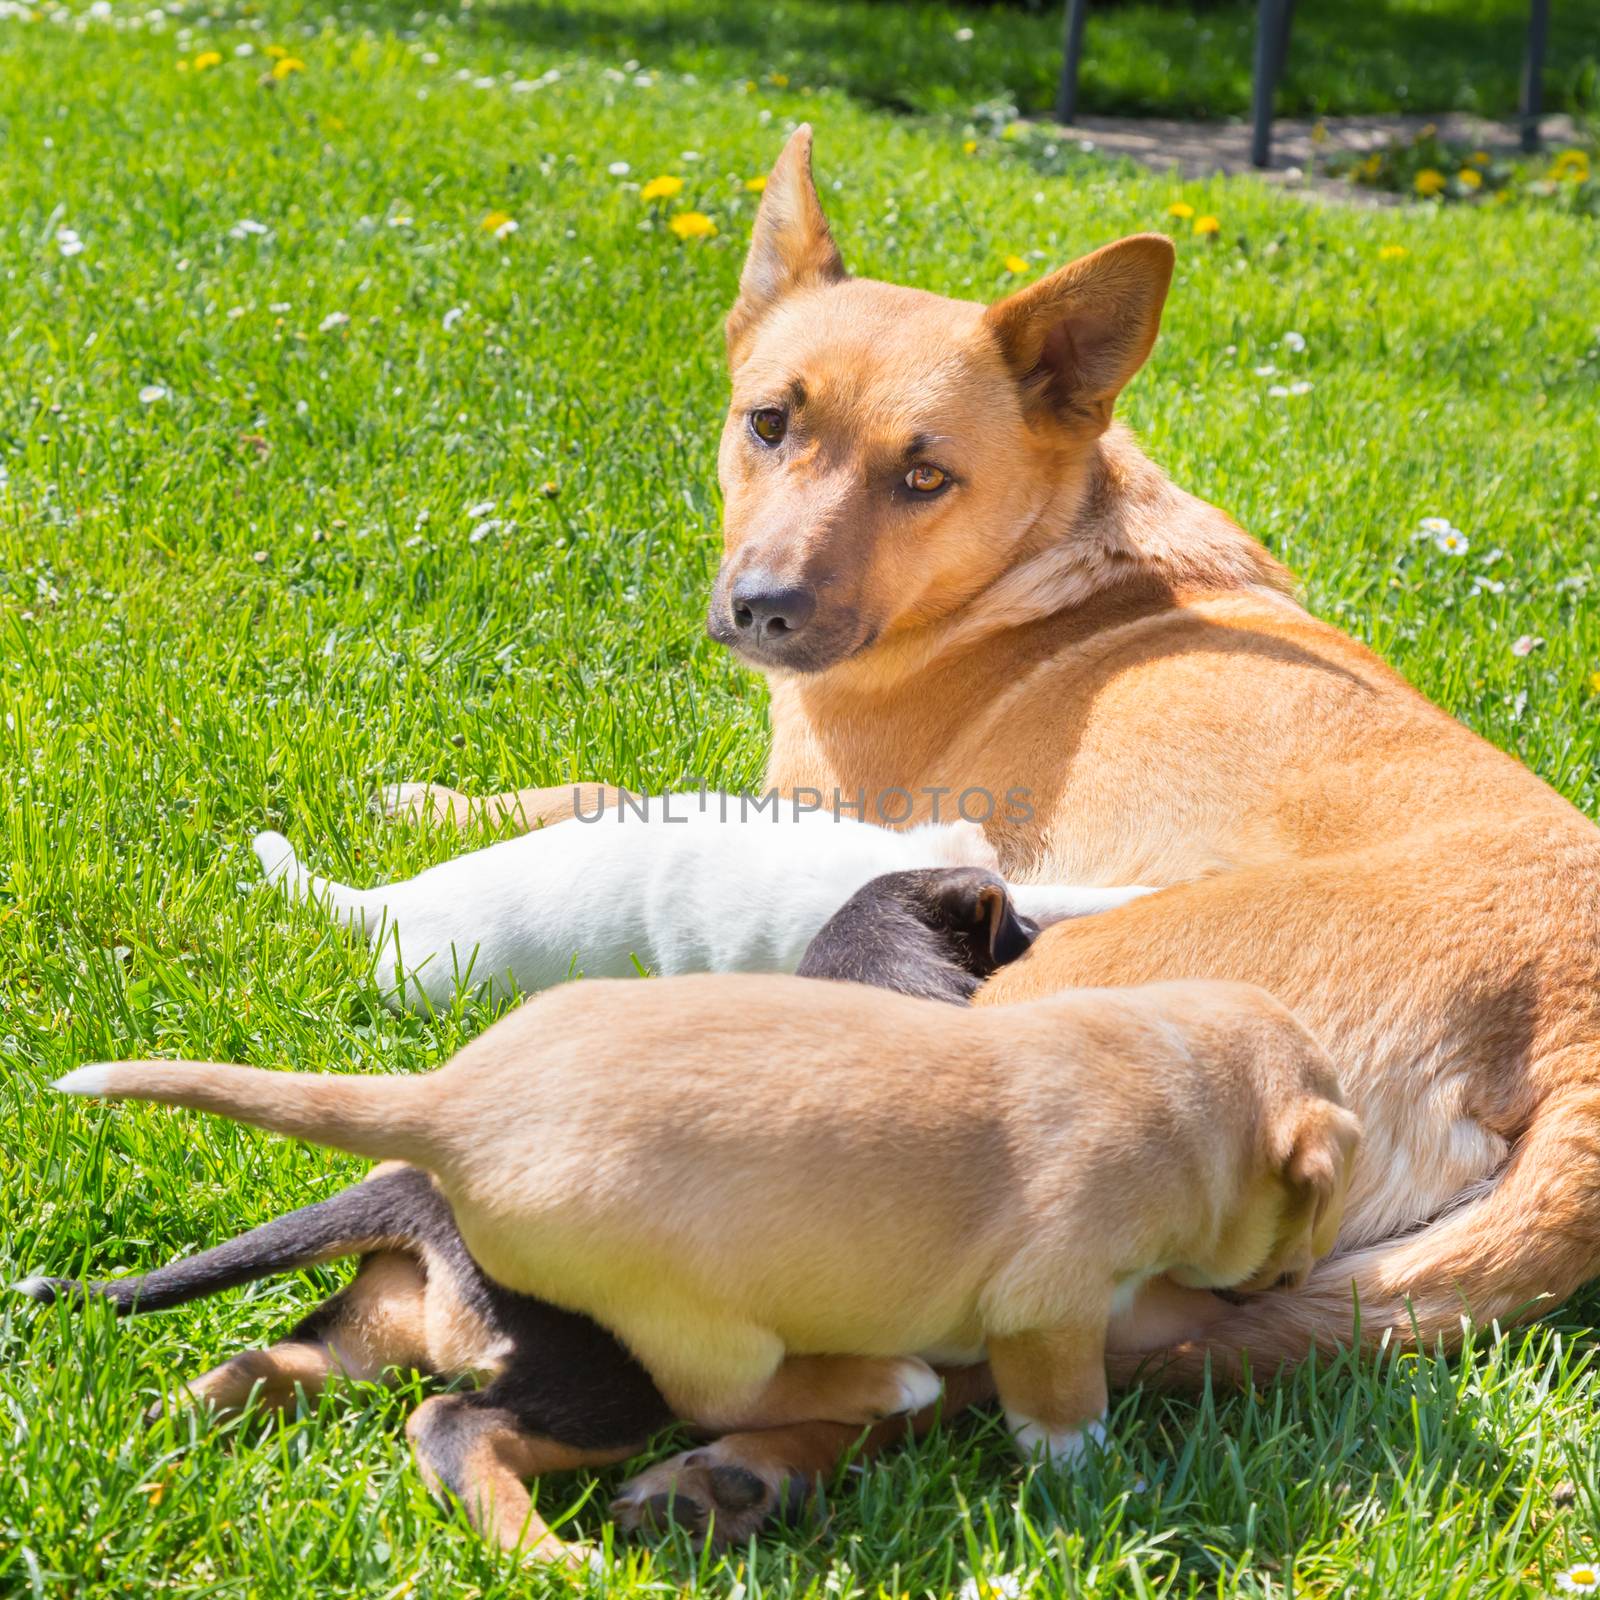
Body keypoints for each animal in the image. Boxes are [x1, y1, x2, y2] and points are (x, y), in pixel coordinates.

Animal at [28, 876, 1049, 1561]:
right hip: (607, 1373)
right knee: (453, 1425)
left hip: (373, 1332)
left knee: (262, 1365)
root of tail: (427, 1170)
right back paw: (552, 1556)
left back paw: (149, 1440)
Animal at [406, 128, 1600, 1536]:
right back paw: (753, 1466)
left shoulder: (810, 802)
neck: (1039, 562)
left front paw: (436, 806)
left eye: (925, 476)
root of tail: (1563, 1019)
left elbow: (605, 791)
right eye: (768, 422)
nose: (762, 608)